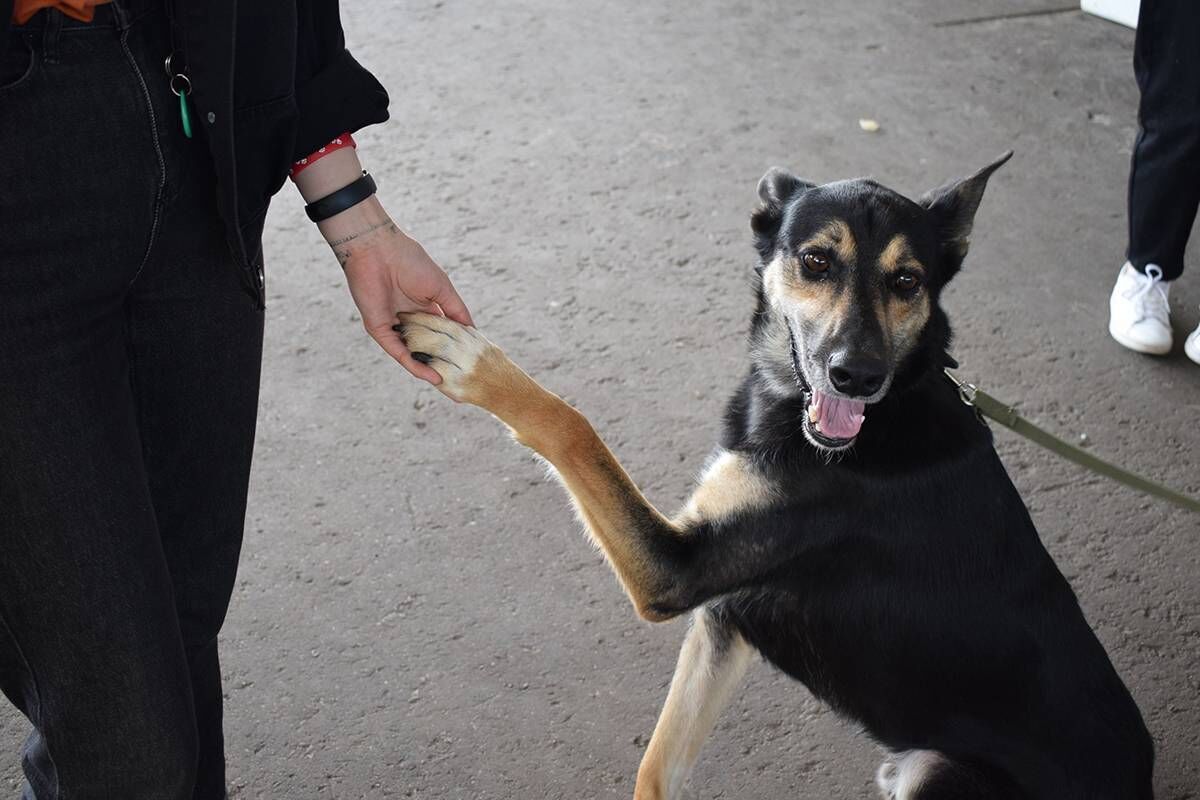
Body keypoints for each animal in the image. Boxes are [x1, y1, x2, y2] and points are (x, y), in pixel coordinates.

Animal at [400, 155, 1152, 800]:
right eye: (817, 261)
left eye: (907, 281)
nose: (858, 376)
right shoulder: (724, 617)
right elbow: (658, 769)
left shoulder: (677, 571)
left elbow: (569, 423)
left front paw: (475, 362)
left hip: (938, 772)